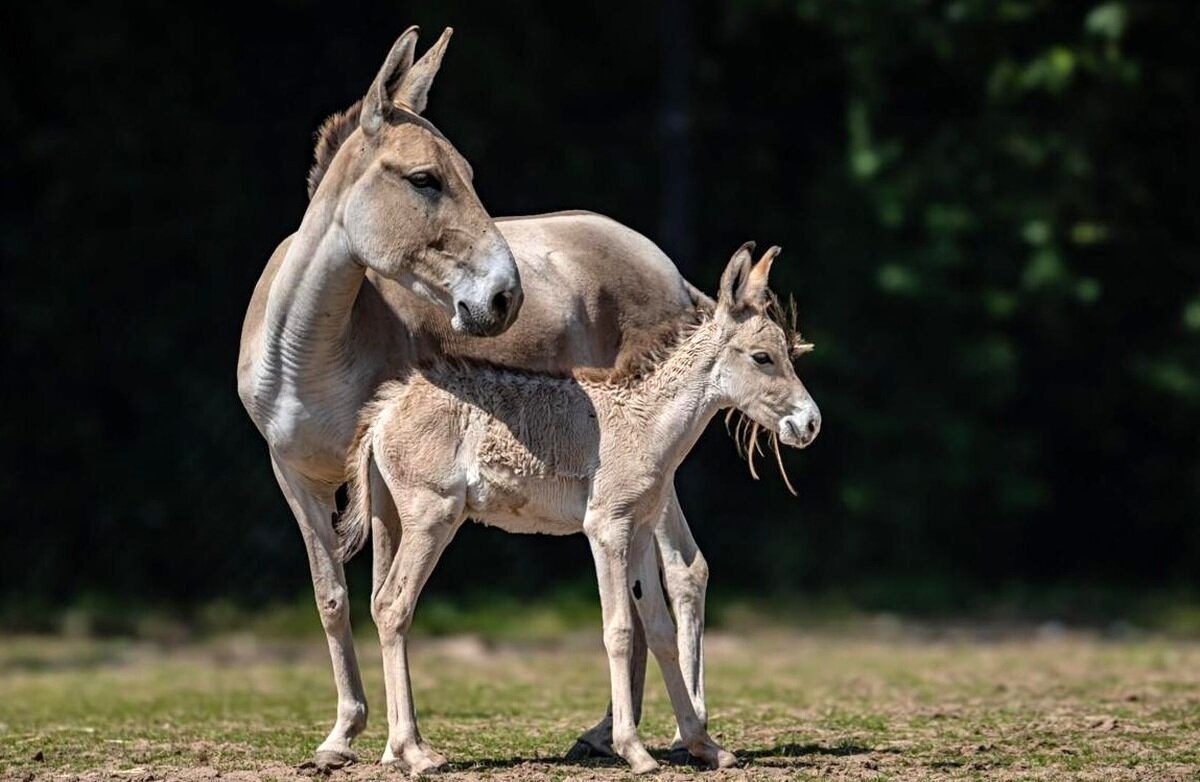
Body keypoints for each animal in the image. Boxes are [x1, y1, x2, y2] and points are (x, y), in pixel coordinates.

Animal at [343, 245, 820, 777]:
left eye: (788, 353)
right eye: (762, 357)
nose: (810, 424)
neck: (644, 422)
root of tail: (384, 412)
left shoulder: (640, 532)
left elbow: (659, 630)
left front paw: (704, 745)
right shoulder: (607, 531)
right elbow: (619, 630)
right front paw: (634, 750)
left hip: (393, 520)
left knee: (381, 604)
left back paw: (397, 751)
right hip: (431, 519)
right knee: (393, 606)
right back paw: (416, 752)